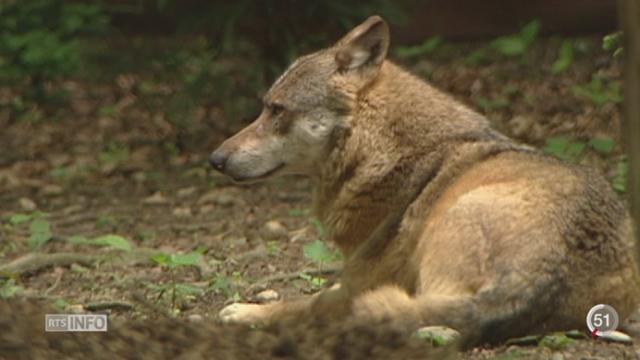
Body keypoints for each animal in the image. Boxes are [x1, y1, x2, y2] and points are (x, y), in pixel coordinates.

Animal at [210, 15, 640, 344]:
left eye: (276, 110)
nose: (215, 159)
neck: (379, 150)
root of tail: (541, 274)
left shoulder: (356, 281)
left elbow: (304, 304)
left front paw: (245, 312)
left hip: (455, 219)